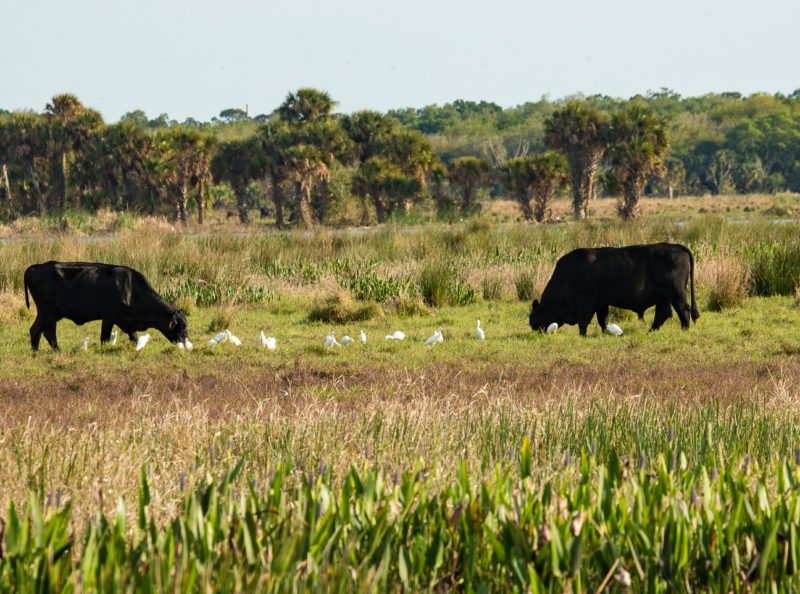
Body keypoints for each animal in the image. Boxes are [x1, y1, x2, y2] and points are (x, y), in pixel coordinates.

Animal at [23, 260, 189, 352]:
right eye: (181, 326)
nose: (185, 342)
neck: (132, 289)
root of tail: (35, 267)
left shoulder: (126, 321)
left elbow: (134, 338)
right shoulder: (109, 317)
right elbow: (104, 338)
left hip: (46, 313)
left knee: (35, 330)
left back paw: (35, 352)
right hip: (49, 311)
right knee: (49, 333)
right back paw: (58, 351)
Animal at [532, 239, 700, 332]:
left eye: (535, 314)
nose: (532, 326)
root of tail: (676, 246)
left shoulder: (586, 300)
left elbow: (584, 320)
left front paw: (583, 335)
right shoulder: (601, 303)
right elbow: (603, 320)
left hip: (676, 294)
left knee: (683, 310)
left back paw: (684, 330)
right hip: (664, 297)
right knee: (663, 314)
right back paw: (650, 332)